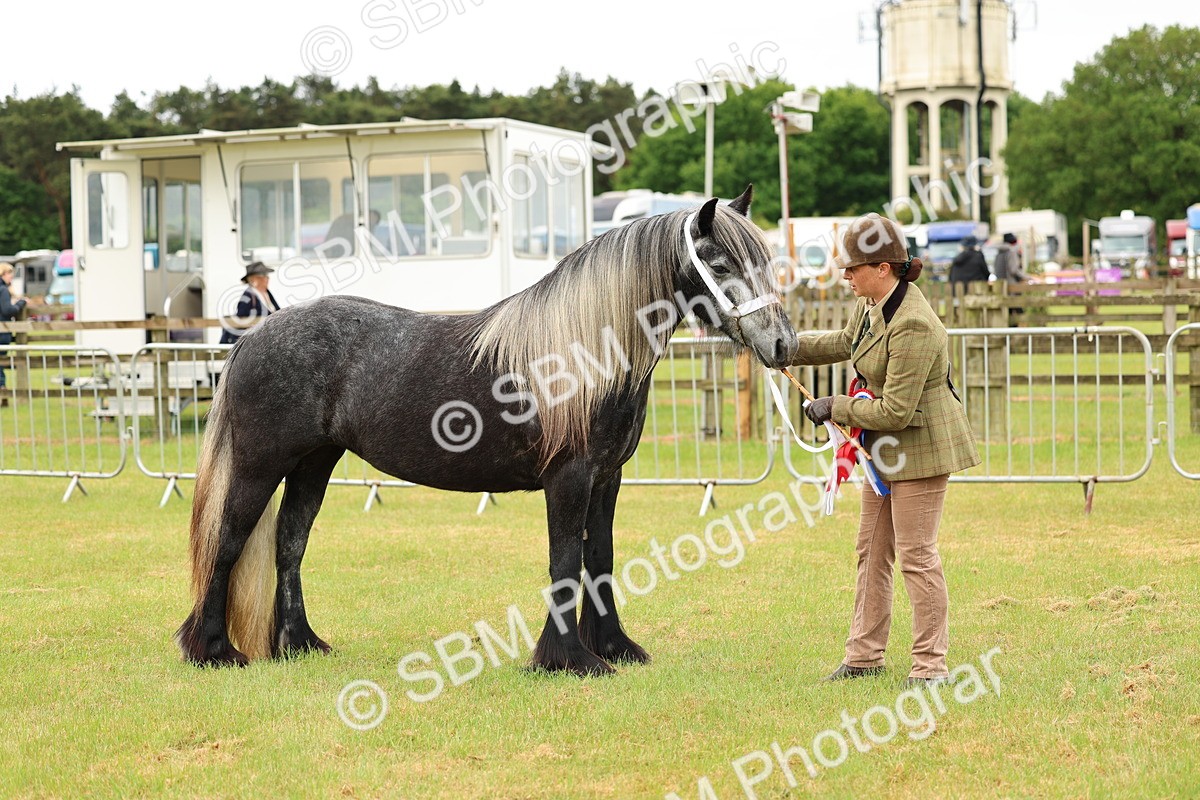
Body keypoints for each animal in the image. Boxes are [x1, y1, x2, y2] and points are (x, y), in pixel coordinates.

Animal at [176, 185, 799, 675]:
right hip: (260, 466)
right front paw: (568, 659)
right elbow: (564, 563)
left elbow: (599, 561)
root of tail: (255, 337)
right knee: (227, 542)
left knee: (289, 544)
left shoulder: (607, 479)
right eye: (719, 263)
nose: (783, 345)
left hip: (314, 464)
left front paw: (615, 648)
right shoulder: (569, 480)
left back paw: (300, 645)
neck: (582, 354)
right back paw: (213, 650)